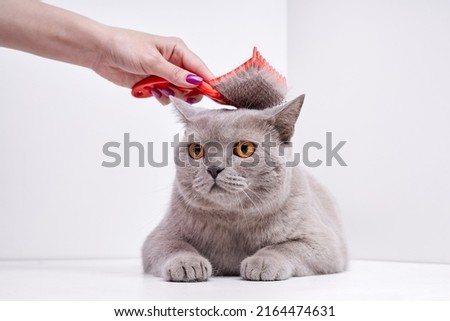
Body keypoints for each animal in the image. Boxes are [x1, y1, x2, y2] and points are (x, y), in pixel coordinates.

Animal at [142, 95, 346, 280]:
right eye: (196, 150)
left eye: (244, 149)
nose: (214, 168)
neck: (233, 220)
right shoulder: (159, 236)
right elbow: (175, 246)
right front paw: (187, 264)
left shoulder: (325, 241)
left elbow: (284, 247)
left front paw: (261, 263)